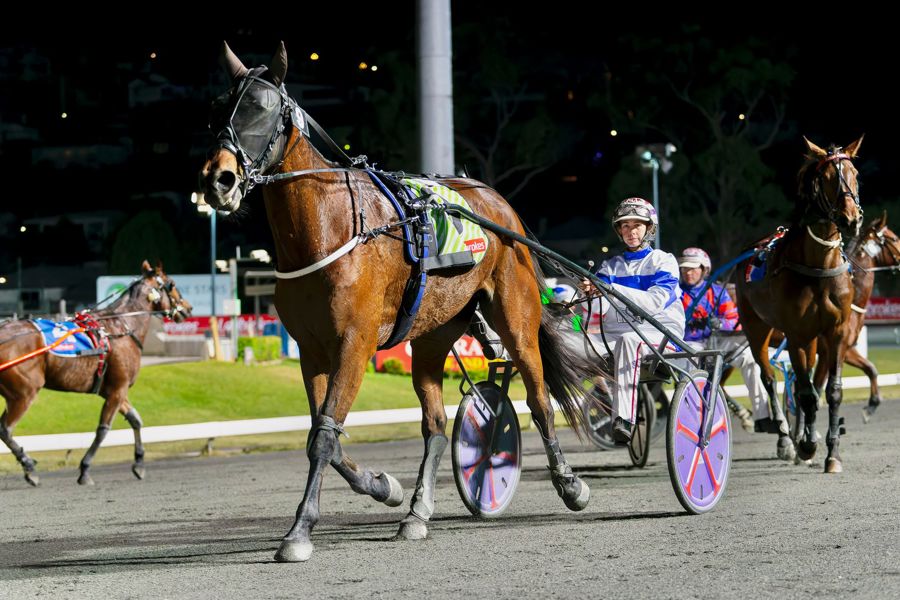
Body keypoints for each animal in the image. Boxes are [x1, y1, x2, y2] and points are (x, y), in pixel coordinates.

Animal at [0, 261, 192, 486]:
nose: (188, 308)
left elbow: (135, 420)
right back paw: (29, 467)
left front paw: (139, 464)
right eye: (172, 284)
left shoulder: (113, 390)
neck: (120, 327)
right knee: (5, 429)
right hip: (24, 393)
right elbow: (103, 429)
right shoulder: (118, 389)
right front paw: (85, 470)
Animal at [199, 42, 603, 562]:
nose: (220, 180)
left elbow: (323, 437)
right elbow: (322, 433)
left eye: (262, 108)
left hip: (515, 316)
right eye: (217, 109)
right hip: (433, 335)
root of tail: (496, 199)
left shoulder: (354, 342)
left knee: (539, 400)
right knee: (435, 424)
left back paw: (570, 485)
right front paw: (382, 485)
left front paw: (300, 531)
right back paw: (417, 513)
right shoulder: (311, 350)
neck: (329, 228)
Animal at [736, 136, 864, 473]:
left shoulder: (835, 332)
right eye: (827, 178)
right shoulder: (796, 335)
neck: (819, 266)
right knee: (769, 378)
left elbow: (830, 391)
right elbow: (805, 393)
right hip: (756, 328)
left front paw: (832, 454)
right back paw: (786, 440)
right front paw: (806, 446)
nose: (851, 219)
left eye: (855, 173)